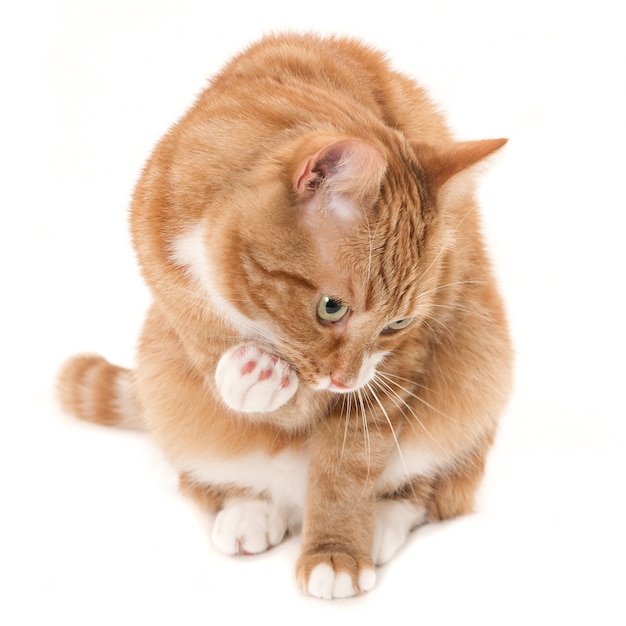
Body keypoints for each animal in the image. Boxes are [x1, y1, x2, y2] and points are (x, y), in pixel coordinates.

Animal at [56, 33, 510, 596]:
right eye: (331, 307)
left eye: (397, 324)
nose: (344, 381)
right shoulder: (172, 291)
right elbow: (241, 379)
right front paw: (254, 373)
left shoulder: (399, 365)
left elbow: (346, 466)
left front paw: (337, 551)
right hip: (161, 377)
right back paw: (250, 511)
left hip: (479, 374)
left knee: (424, 488)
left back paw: (379, 523)